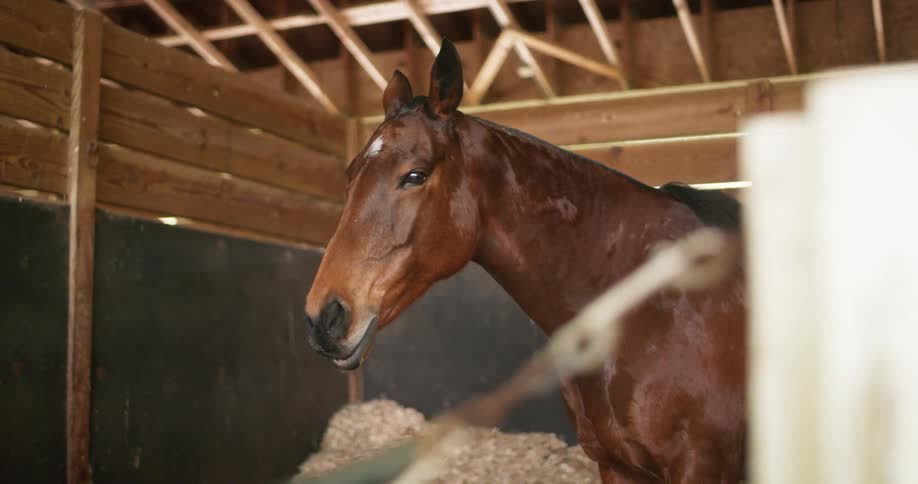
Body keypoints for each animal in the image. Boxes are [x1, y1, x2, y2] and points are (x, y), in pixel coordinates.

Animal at [304, 40, 746, 483]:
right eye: (349, 177)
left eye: (415, 175)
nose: (324, 318)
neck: (649, 308)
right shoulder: (615, 466)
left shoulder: (702, 466)